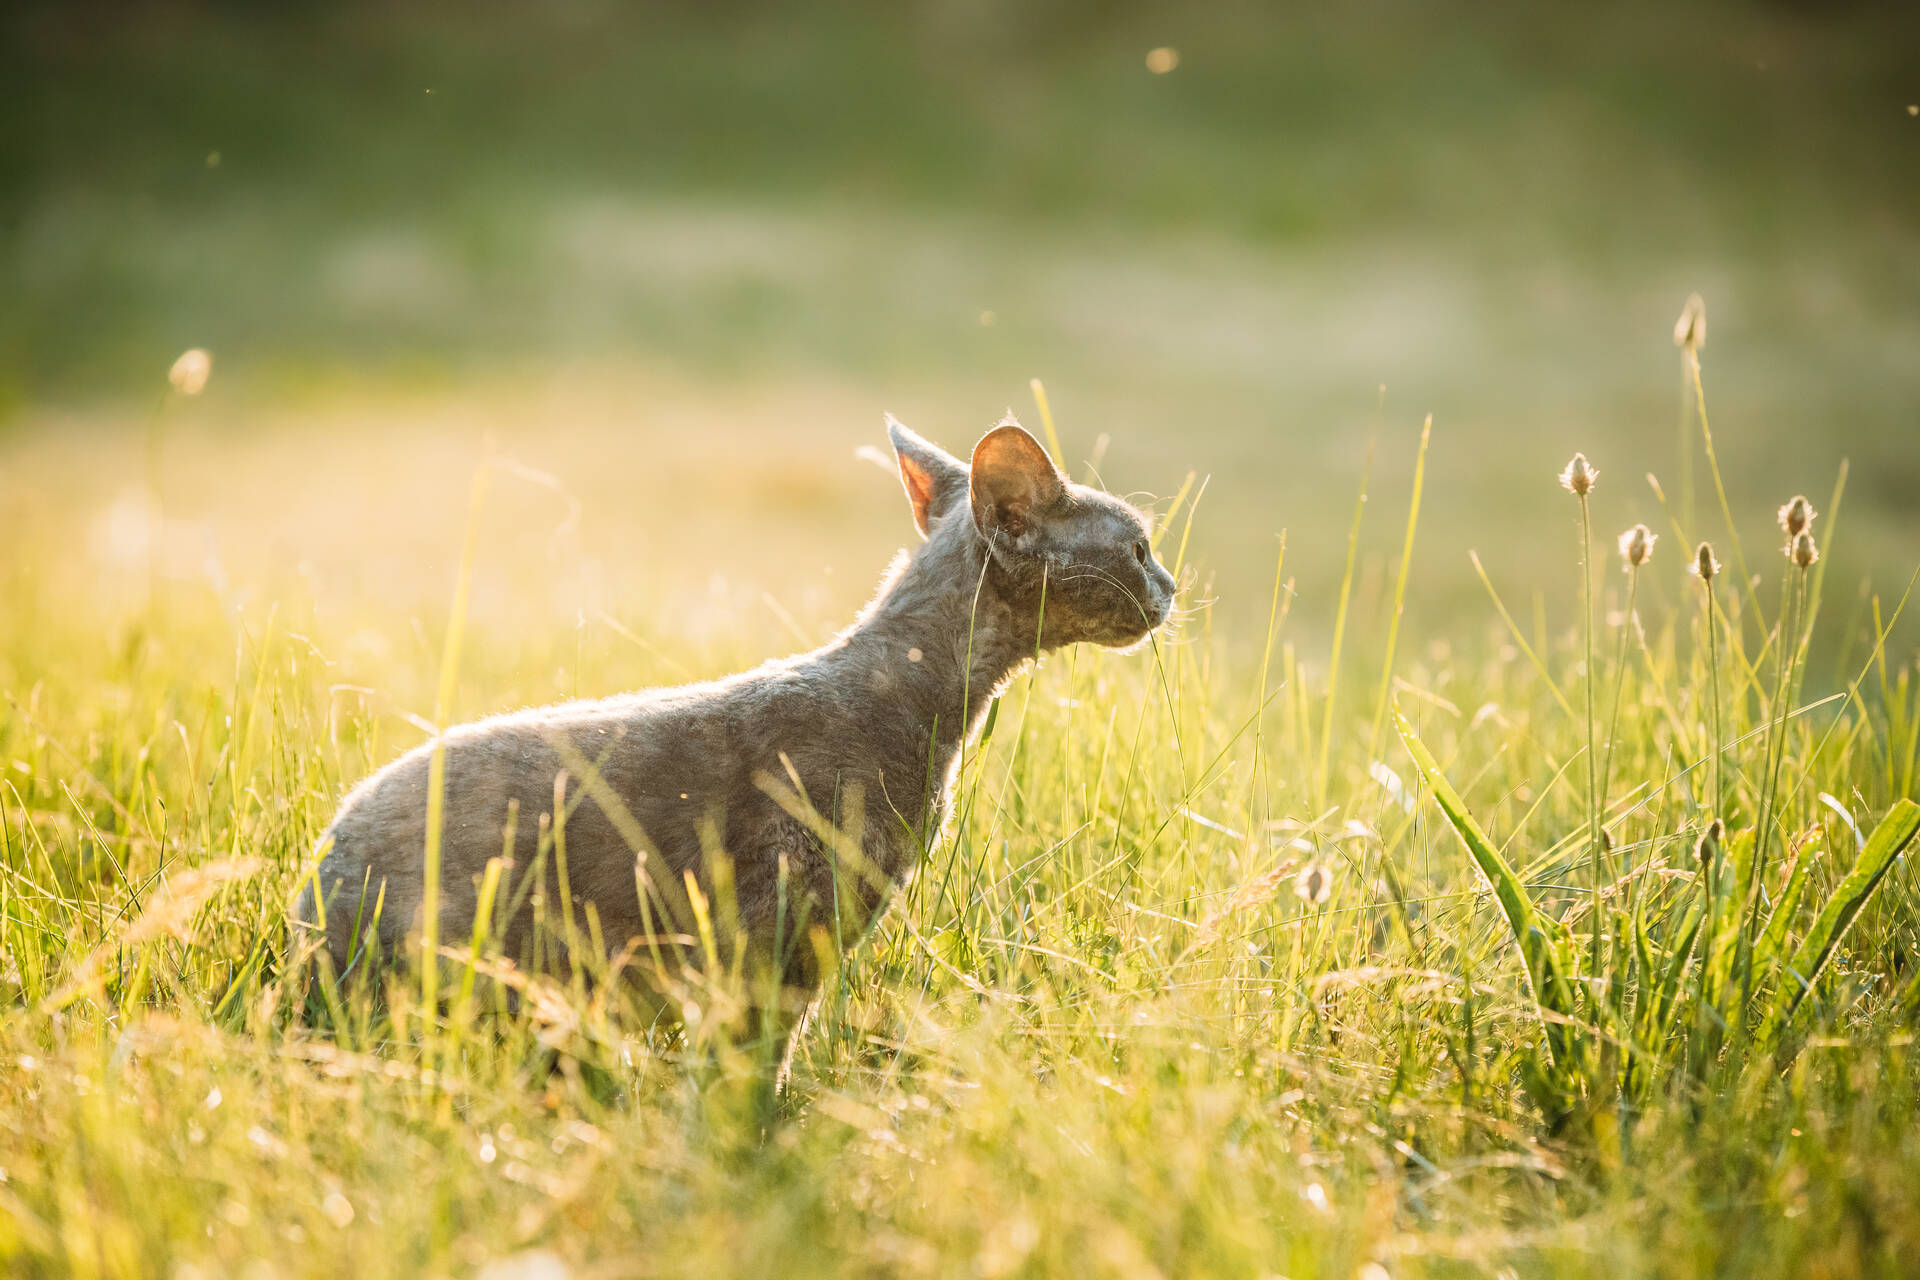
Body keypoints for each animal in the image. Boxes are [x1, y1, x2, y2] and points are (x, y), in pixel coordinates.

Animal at [291, 420, 1175, 1043]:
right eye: (1137, 549)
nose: (1171, 583)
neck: (921, 709)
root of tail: (310, 899)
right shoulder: (780, 933)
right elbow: (756, 1063)